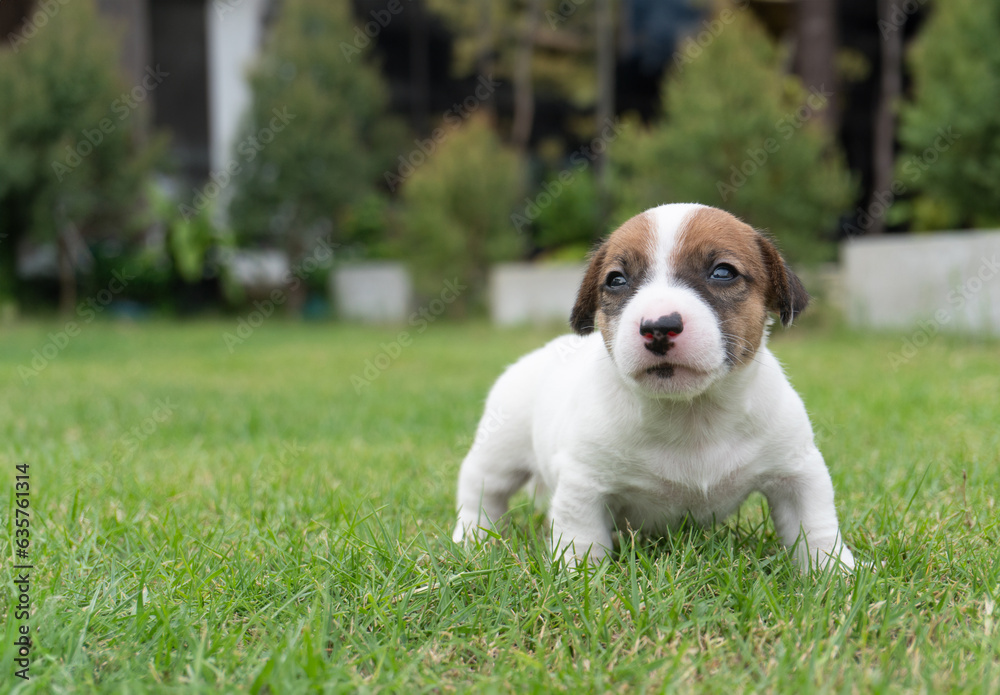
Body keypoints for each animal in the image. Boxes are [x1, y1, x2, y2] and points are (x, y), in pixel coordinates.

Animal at [454, 204, 852, 572]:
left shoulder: (797, 473)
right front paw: (578, 579)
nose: (658, 326)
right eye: (616, 279)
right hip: (500, 453)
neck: (691, 412)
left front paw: (836, 573)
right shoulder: (584, 484)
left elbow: (816, 527)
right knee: (480, 490)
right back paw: (472, 539)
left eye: (723, 272)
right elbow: (581, 539)